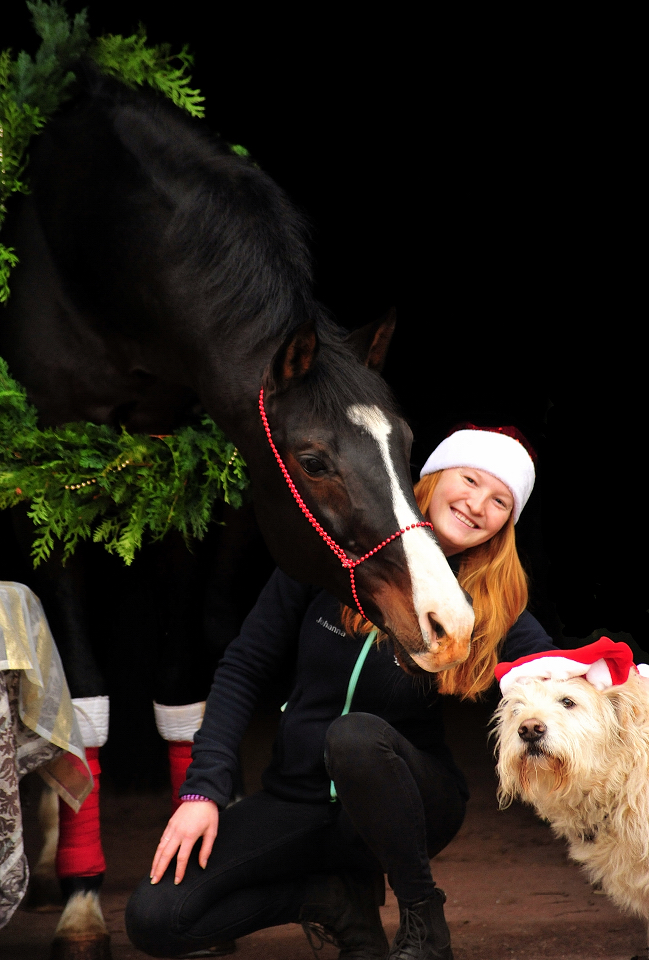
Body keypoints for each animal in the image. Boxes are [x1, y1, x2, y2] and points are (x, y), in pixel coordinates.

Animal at [1, 63, 476, 956]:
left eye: (404, 440)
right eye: (316, 461)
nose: (449, 620)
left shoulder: (196, 483)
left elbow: (190, 681)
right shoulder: (50, 484)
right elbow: (83, 695)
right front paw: (84, 900)